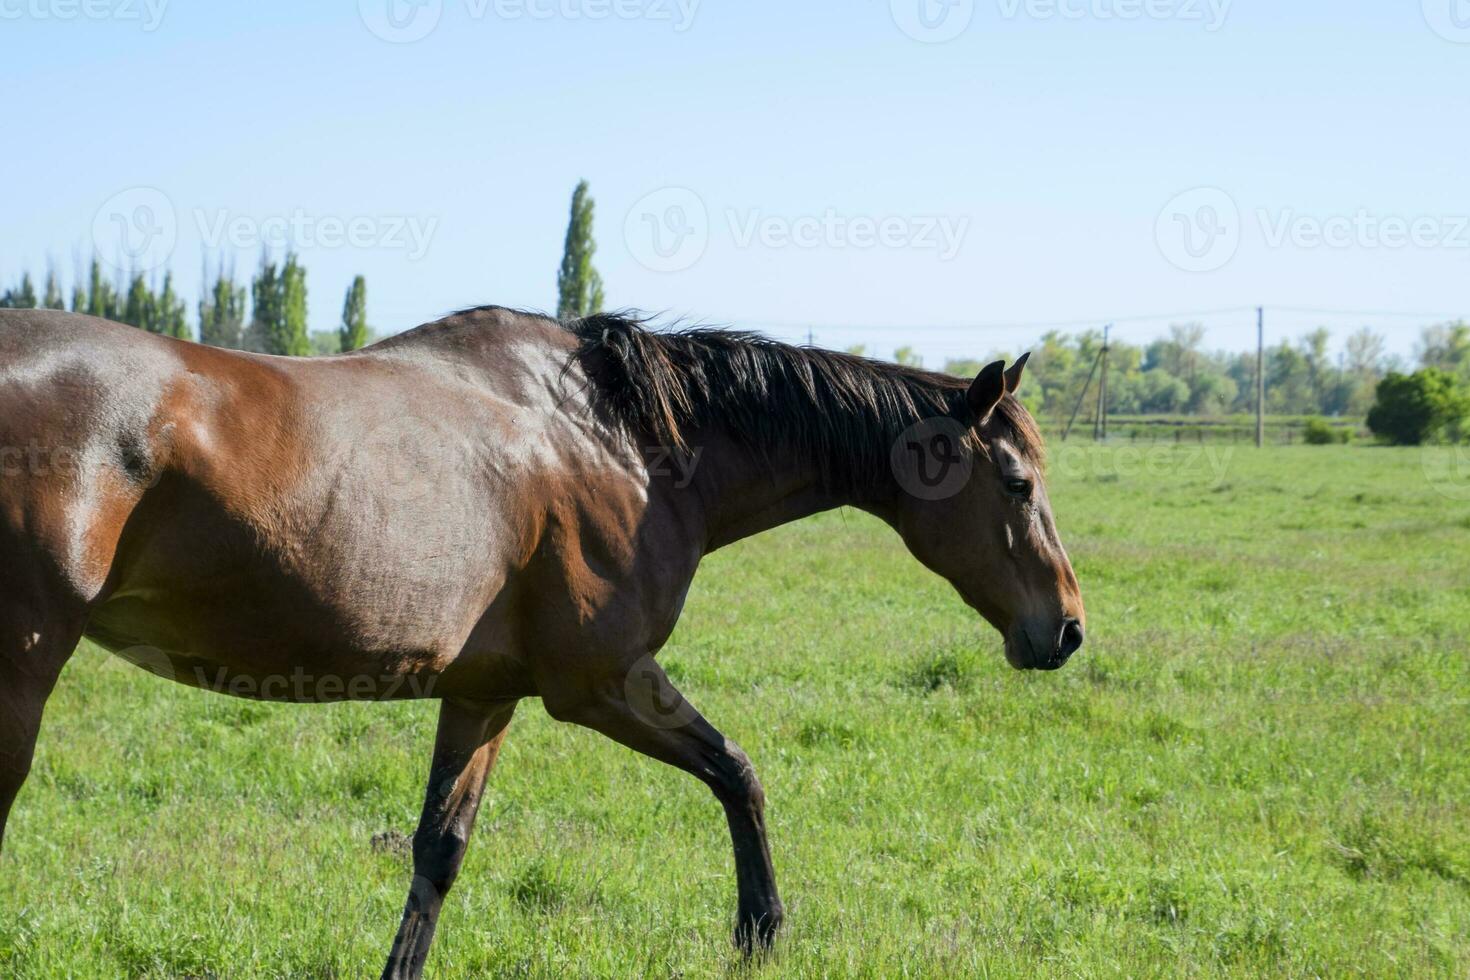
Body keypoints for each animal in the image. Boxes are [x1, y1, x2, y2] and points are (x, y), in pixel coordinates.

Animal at [0, 302, 1081, 975]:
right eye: (1017, 481)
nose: (1066, 628)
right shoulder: (599, 681)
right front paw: (760, 933)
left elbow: (439, 850)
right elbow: (739, 771)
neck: (623, 442)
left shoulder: (483, 691)